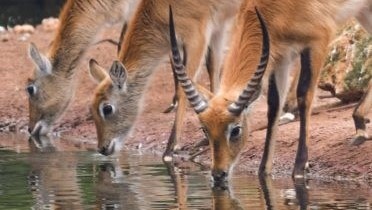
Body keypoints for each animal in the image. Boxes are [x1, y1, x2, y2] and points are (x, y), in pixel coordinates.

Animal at [88, 0, 243, 157]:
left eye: (107, 108)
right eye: (91, 108)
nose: (102, 148)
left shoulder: (197, 38)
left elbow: (185, 85)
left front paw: (171, 148)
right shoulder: (218, 27)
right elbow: (213, 67)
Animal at [169, 0, 372, 182]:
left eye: (236, 130)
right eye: (205, 130)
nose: (218, 174)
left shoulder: (317, 41)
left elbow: (304, 95)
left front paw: (300, 168)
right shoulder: (281, 57)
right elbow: (274, 106)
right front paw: (263, 171)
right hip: (363, 11)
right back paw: (360, 126)